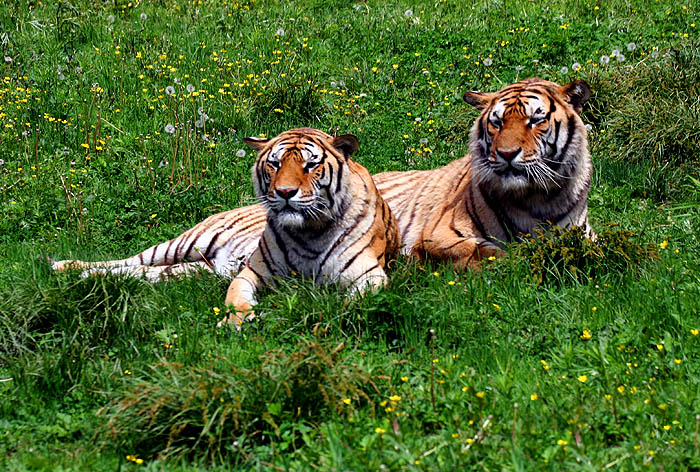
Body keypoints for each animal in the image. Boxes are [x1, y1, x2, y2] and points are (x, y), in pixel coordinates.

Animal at [53, 79, 592, 298]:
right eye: (497, 122)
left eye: (535, 120)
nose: (507, 155)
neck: (538, 198)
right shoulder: (438, 237)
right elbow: (489, 252)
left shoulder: (581, 236)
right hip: (189, 241)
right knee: (127, 259)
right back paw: (63, 266)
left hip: (194, 269)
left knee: (139, 274)